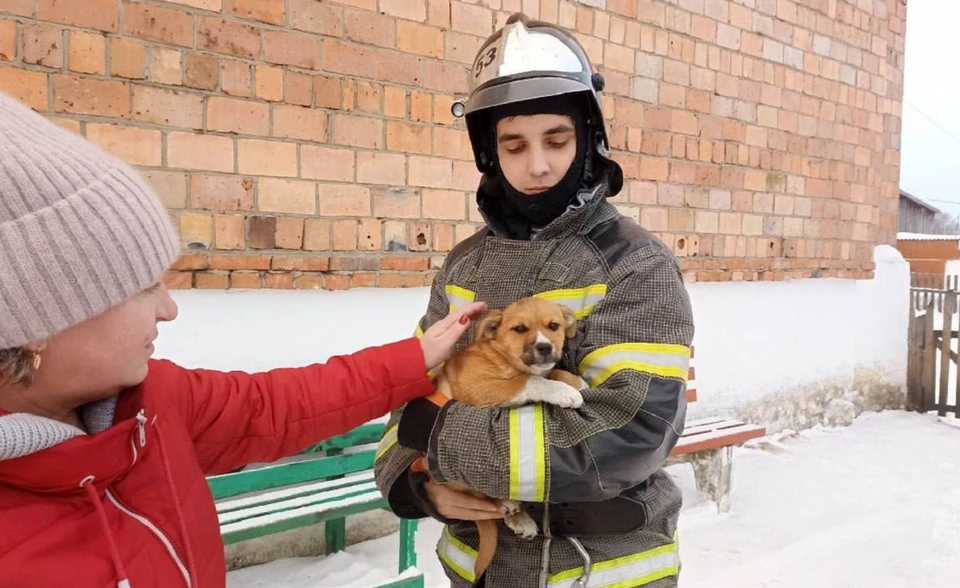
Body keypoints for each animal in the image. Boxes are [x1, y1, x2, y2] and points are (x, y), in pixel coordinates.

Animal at [434, 296, 584, 580]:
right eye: (519, 329)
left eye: (554, 325)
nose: (545, 347)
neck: (501, 355)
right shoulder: (478, 385)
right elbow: (530, 380)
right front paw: (564, 391)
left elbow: (550, 373)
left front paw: (575, 382)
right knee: (484, 493)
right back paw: (510, 507)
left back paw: (519, 517)